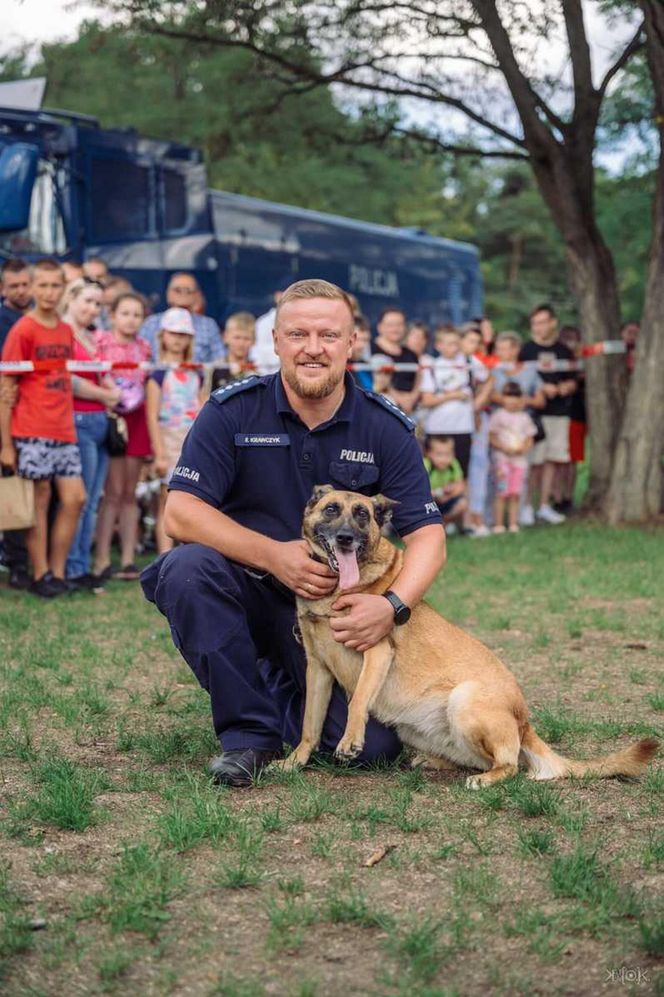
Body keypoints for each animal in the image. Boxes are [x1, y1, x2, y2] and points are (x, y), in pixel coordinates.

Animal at [282, 488, 660, 784]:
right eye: (331, 509)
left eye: (361, 514)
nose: (345, 538)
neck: (337, 590)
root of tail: (524, 722)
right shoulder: (317, 669)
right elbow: (309, 724)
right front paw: (295, 760)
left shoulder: (376, 652)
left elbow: (357, 700)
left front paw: (350, 741)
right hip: (420, 727)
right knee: (478, 760)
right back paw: (435, 761)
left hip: (463, 702)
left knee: (510, 765)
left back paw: (486, 778)